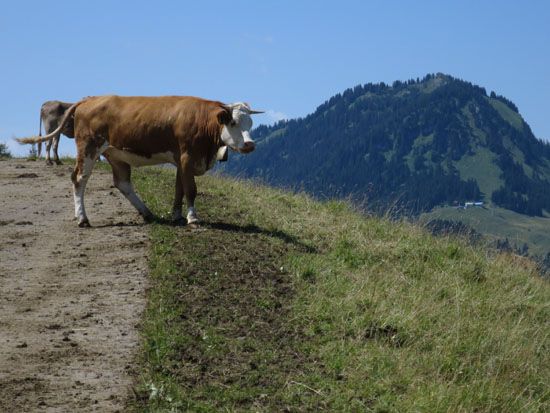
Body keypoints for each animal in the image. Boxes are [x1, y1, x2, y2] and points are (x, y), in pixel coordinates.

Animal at [18, 94, 264, 225]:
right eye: (233, 122)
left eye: (250, 123)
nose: (250, 145)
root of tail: (89, 99)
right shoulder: (187, 157)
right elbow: (190, 189)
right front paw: (192, 218)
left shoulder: (179, 160)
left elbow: (179, 189)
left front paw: (176, 215)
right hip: (88, 147)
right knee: (79, 179)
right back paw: (82, 218)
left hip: (115, 154)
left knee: (122, 183)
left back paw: (146, 212)